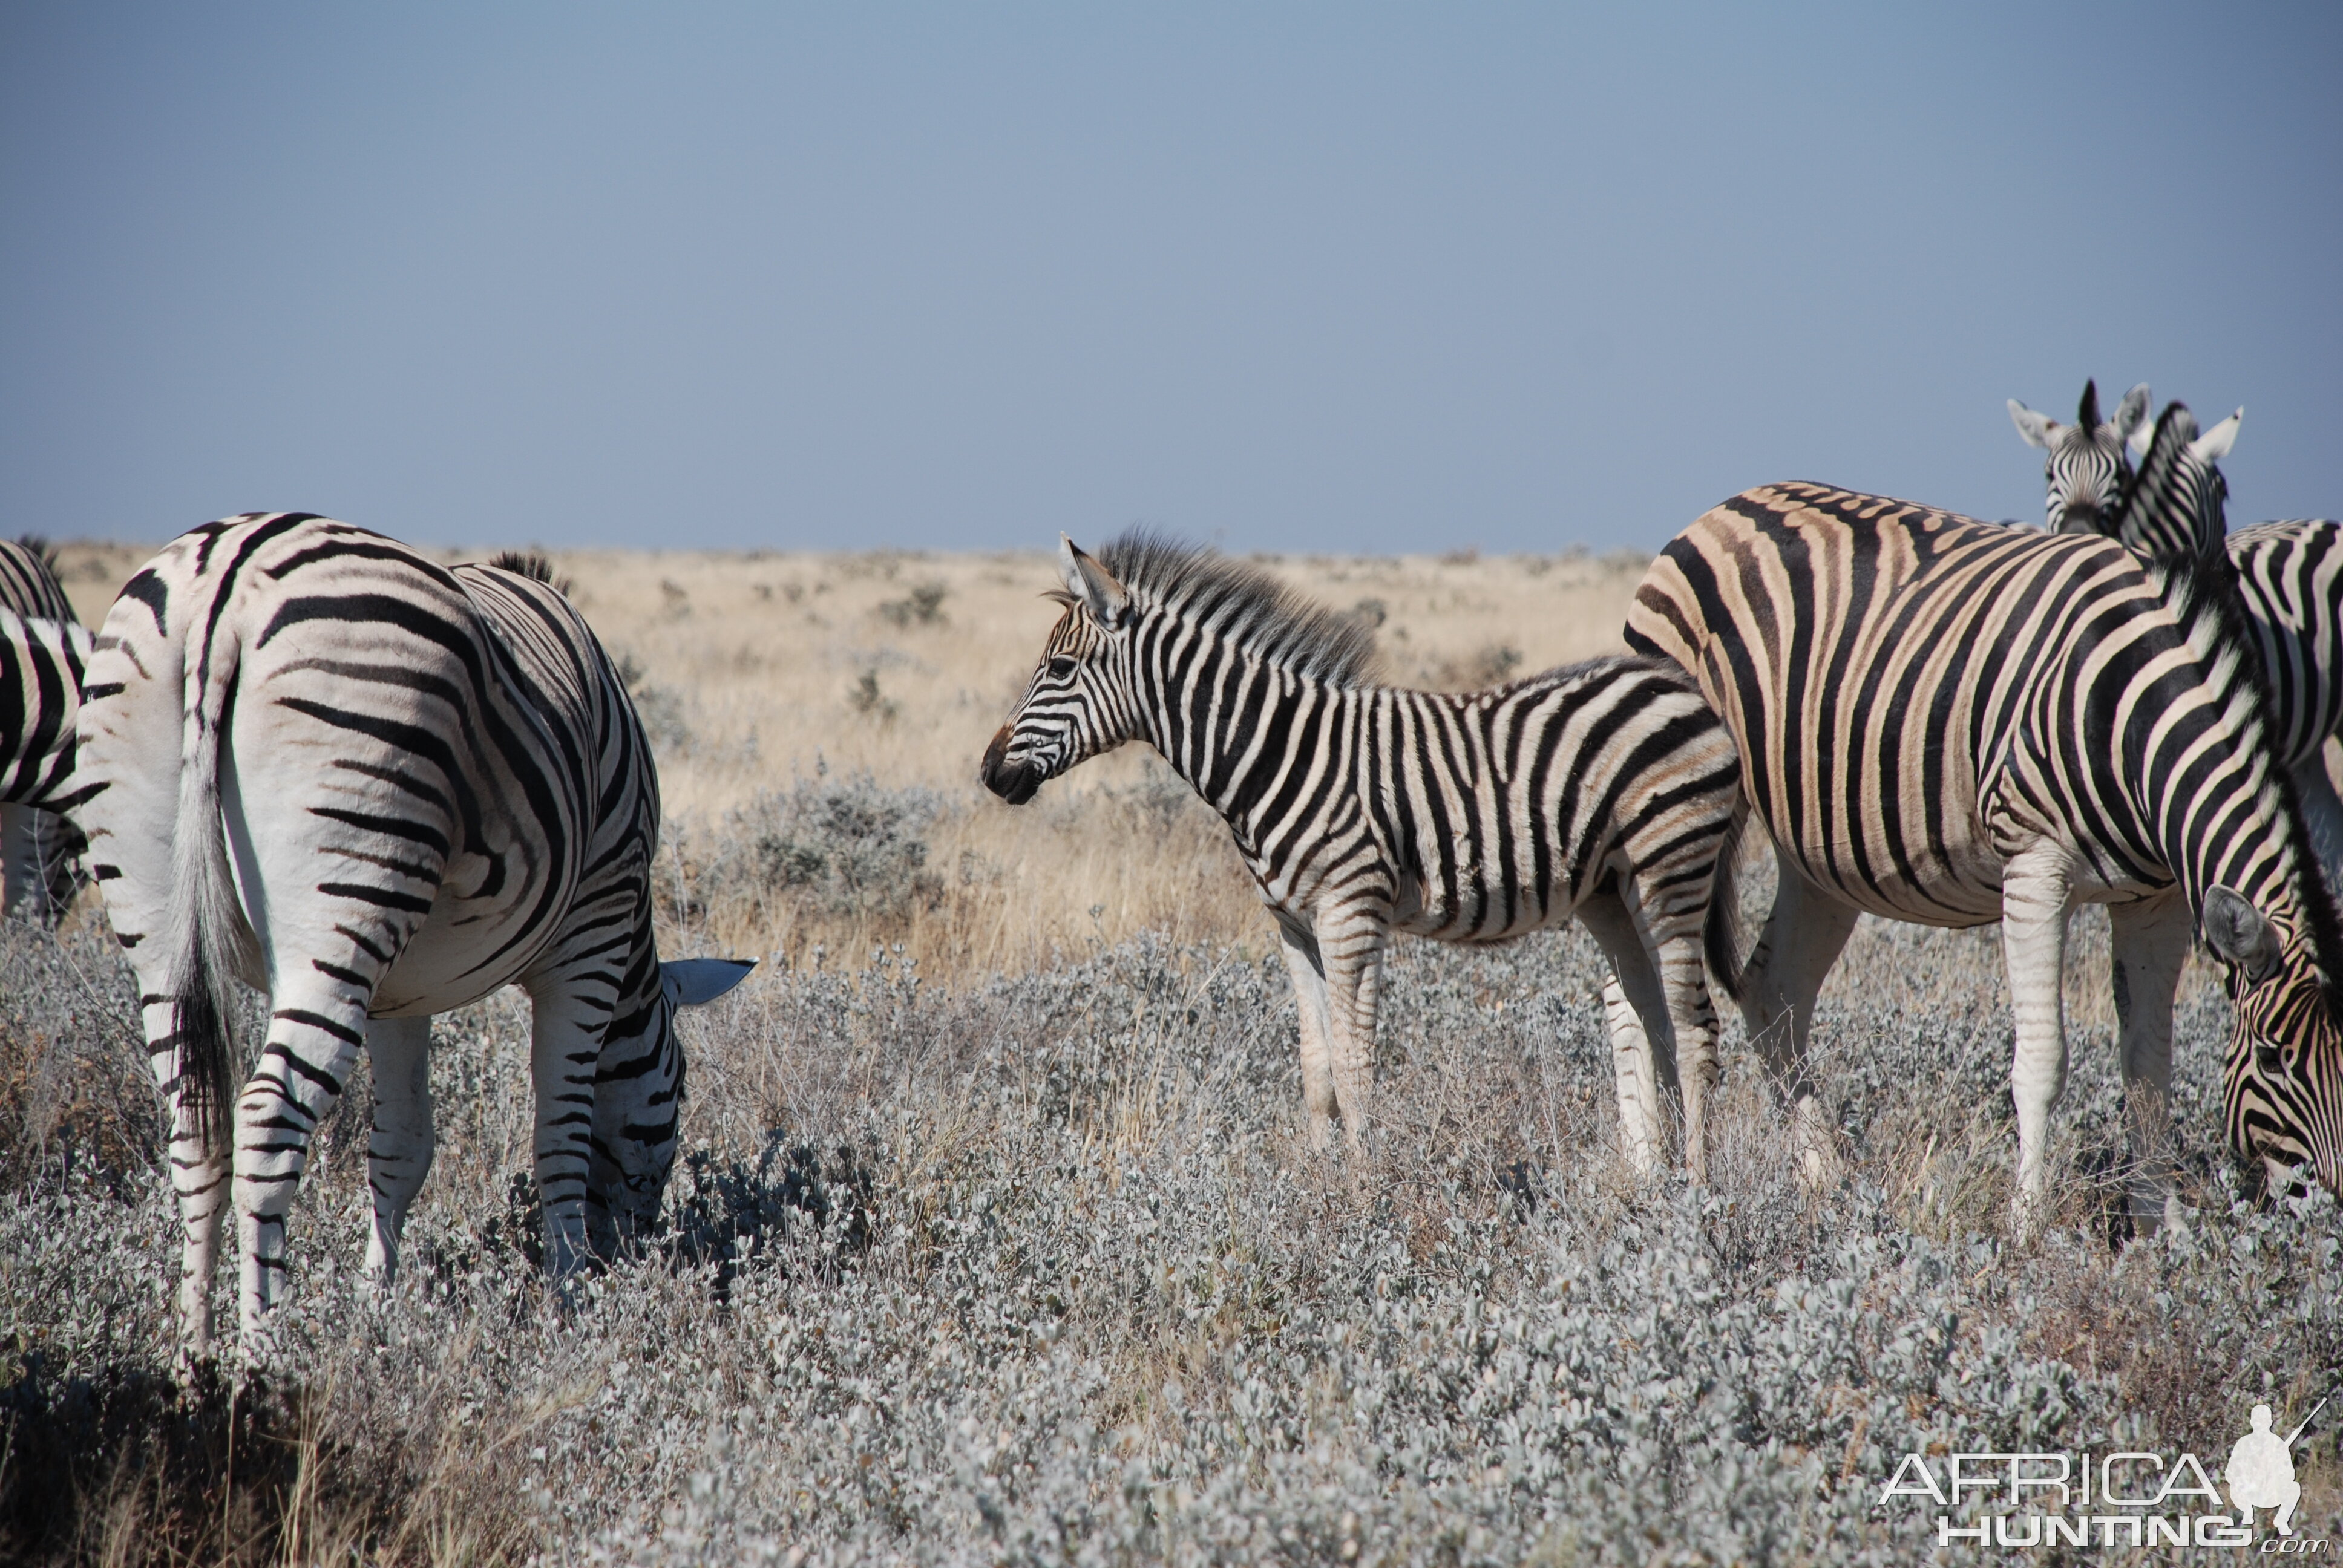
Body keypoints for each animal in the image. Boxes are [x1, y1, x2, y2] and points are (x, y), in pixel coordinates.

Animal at [71, 513, 750, 1350]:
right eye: (679, 1088)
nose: (634, 1252)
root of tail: (227, 576)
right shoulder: (592, 933)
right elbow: (559, 1133)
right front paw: (568, 1305)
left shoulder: (399, 991)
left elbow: (402, 1148)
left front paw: (379, 1306)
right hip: (348, 881)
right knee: (268, 1118)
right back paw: (261, 1354)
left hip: (158, 903)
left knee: (196, 1123)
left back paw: (193, 1355)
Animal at [979, 529, 1752, 1172]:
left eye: (1059, 668)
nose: (988, 773)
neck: (1274, 755)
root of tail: (1681, 686)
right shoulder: (1292, 927)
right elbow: (1316, 1071)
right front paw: (1324, 1190)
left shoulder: (1349, 912)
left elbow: (1356, 1072)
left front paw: (1363, 1199)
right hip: (1611, 890)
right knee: (1653, 1022)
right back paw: (1654, 1185)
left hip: (1671, 863)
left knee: (1694, 1029)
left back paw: (1696, 1194)